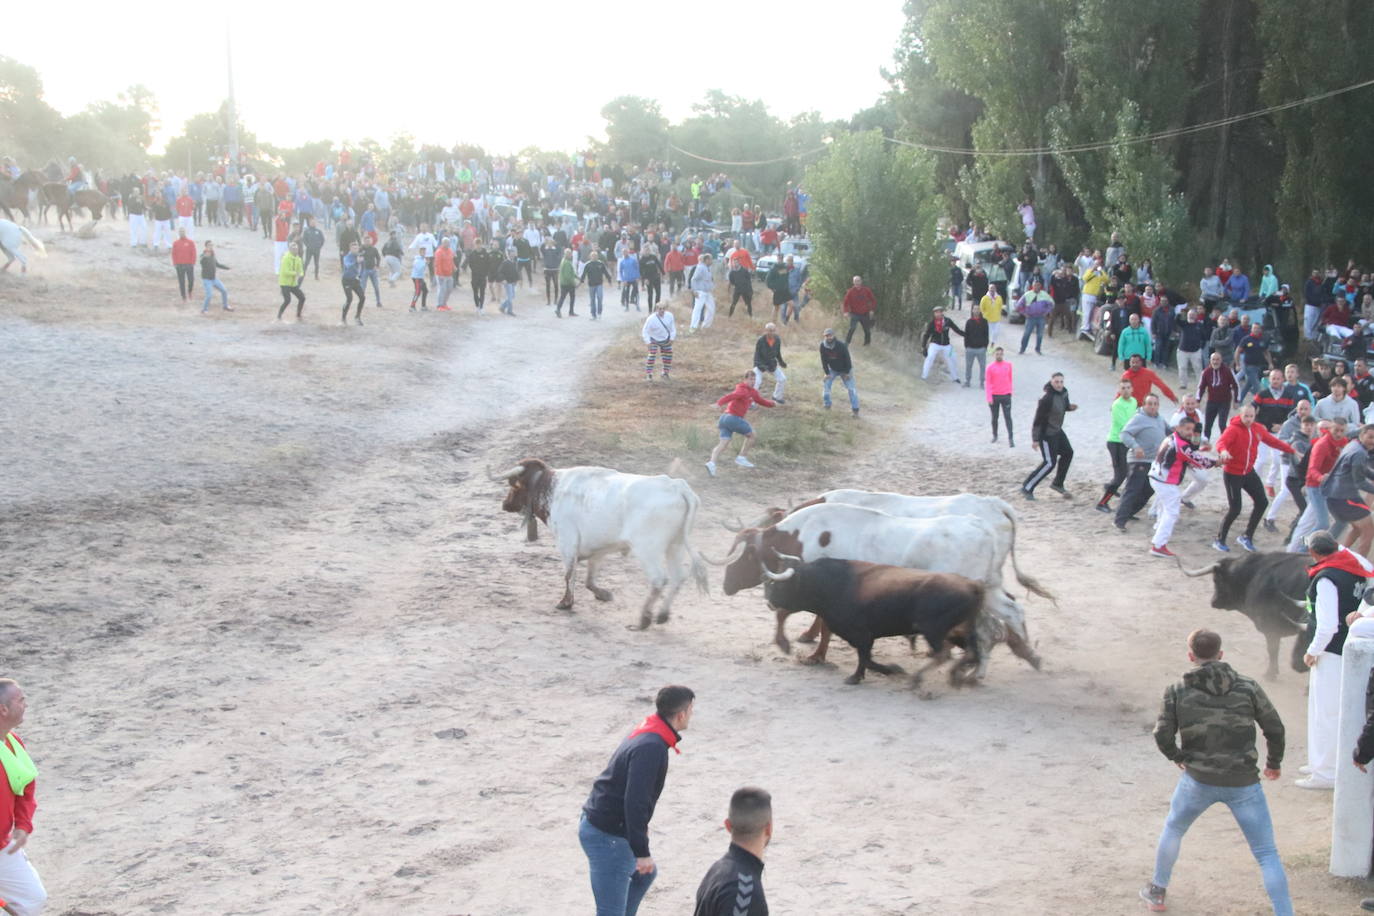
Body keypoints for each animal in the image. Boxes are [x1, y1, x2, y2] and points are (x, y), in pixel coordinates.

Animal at [494, 458, 708, 631]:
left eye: (515, 486)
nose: (505, 504)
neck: (552, 489)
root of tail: (676, 486)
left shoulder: (567, 541)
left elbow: (569, 574)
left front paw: (566, 603)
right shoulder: (598, 549)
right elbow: (590, 578)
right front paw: (603, 594)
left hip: (648, 549)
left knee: (658, 580)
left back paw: (643, 619)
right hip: (675, 545)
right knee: (678, 577)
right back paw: (662, 614)